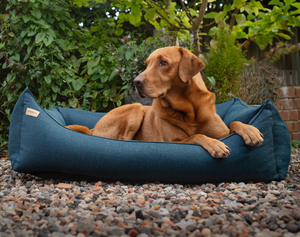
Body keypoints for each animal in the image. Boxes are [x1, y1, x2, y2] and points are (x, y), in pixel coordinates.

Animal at [67, 46, 264, 157]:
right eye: (146, 64)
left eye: (163, 62)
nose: (136, 82)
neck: (189, 111)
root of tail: (93, 129)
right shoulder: (173, 142)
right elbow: (196, 136)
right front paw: (214, 144)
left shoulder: (223, 132)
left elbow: (234, 122)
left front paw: (251, 131)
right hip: (136, 107)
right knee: (124, 140)